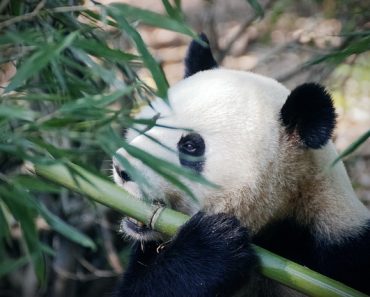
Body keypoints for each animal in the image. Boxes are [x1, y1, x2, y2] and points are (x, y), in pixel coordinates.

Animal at [110, 33, 370, 294]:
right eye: (151, 123)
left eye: (191, 146)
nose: (122, 169)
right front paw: (211, 246)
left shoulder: (342, 248)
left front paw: (213, 243)